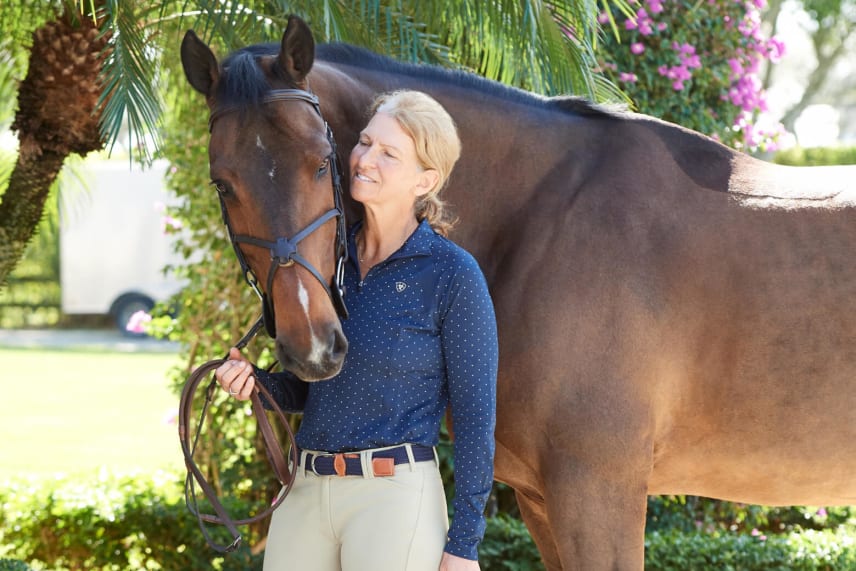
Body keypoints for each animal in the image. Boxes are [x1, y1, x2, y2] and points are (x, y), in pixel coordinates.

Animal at [181, 15, 856, 568]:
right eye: (222, 184)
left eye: (323, 161)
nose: (313, 347)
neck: (543, 219)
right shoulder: (542, 501)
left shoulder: (598, 494)